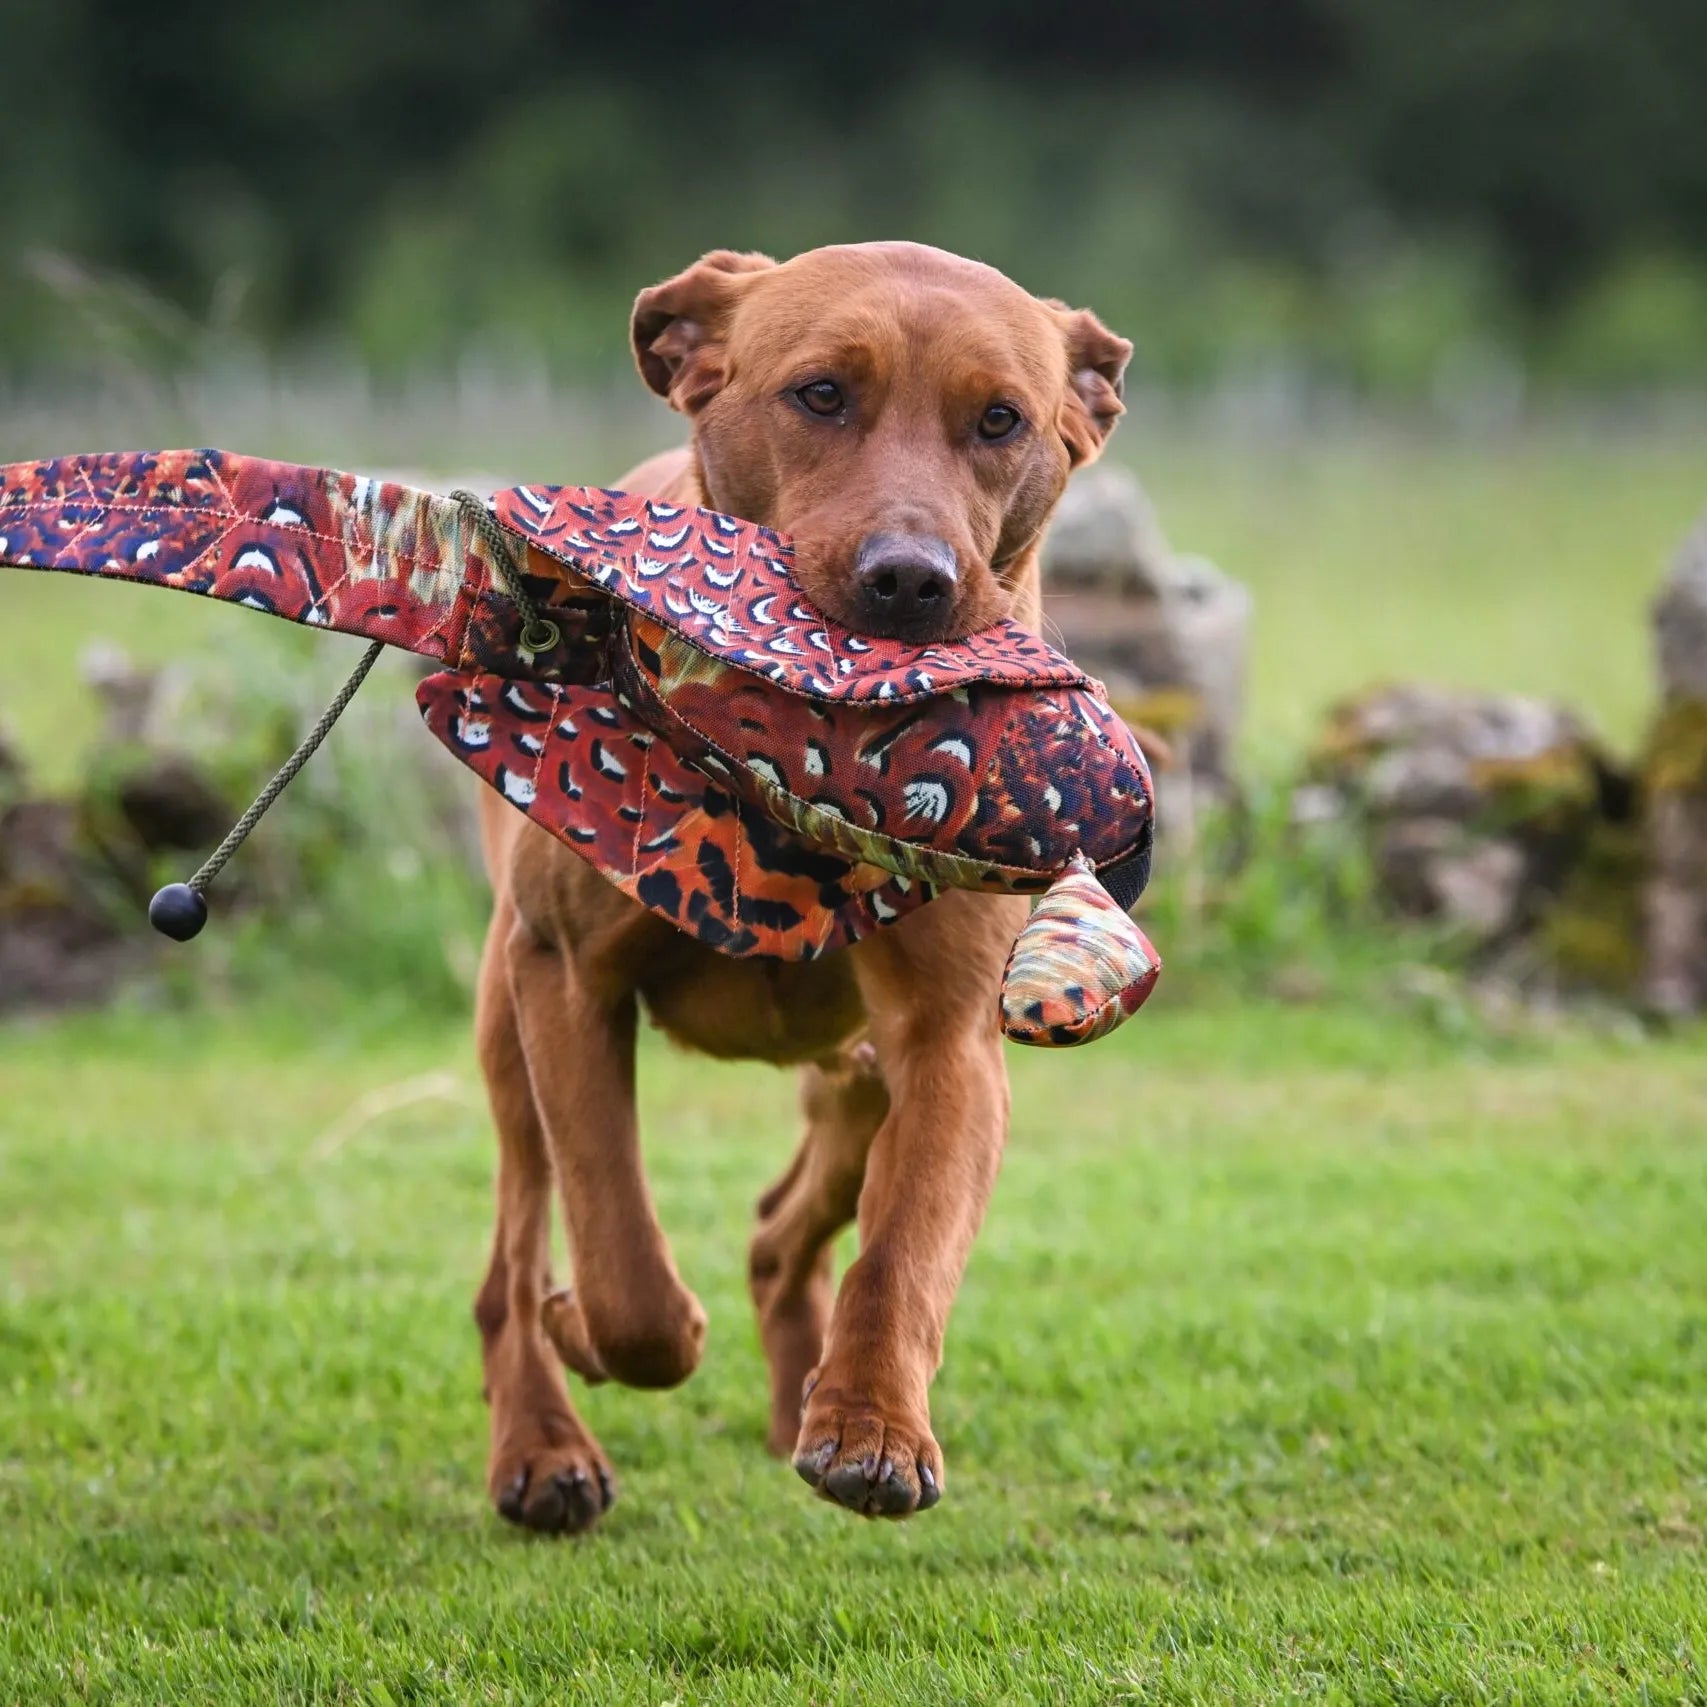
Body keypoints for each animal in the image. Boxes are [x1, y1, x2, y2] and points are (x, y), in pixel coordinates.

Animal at [474, 240, 1126, 1536]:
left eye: (1000, 420)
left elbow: (908, 1246)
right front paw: (596, 1330)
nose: (909, 582)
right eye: (820, 395)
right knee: (514, 1248)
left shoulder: (948, 1037)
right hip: (502, 1021)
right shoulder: (562, 975)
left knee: (787, 1229)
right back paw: (543, 1444)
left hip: (854, 1076)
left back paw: (799, 1404)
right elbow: (620, 1259)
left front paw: (872, 1431)